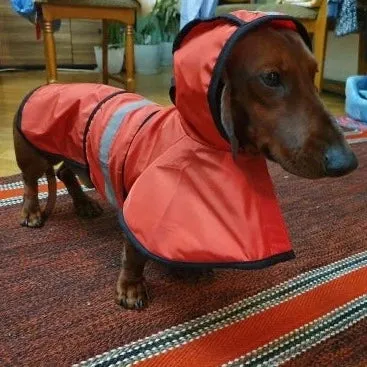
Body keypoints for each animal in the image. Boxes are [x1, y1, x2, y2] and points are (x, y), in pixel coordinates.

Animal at [13, 12, 360, 310]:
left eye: (313, 73)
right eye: (271, 77)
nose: (347, 162)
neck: (199, 141)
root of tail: (48, 86)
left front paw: (187, 269)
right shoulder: (142, 208)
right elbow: (134, 253)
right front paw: (131, 287)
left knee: (63, 172)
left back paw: (84, 204)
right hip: (32, 153)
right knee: (31, 182)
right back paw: (32, 211)